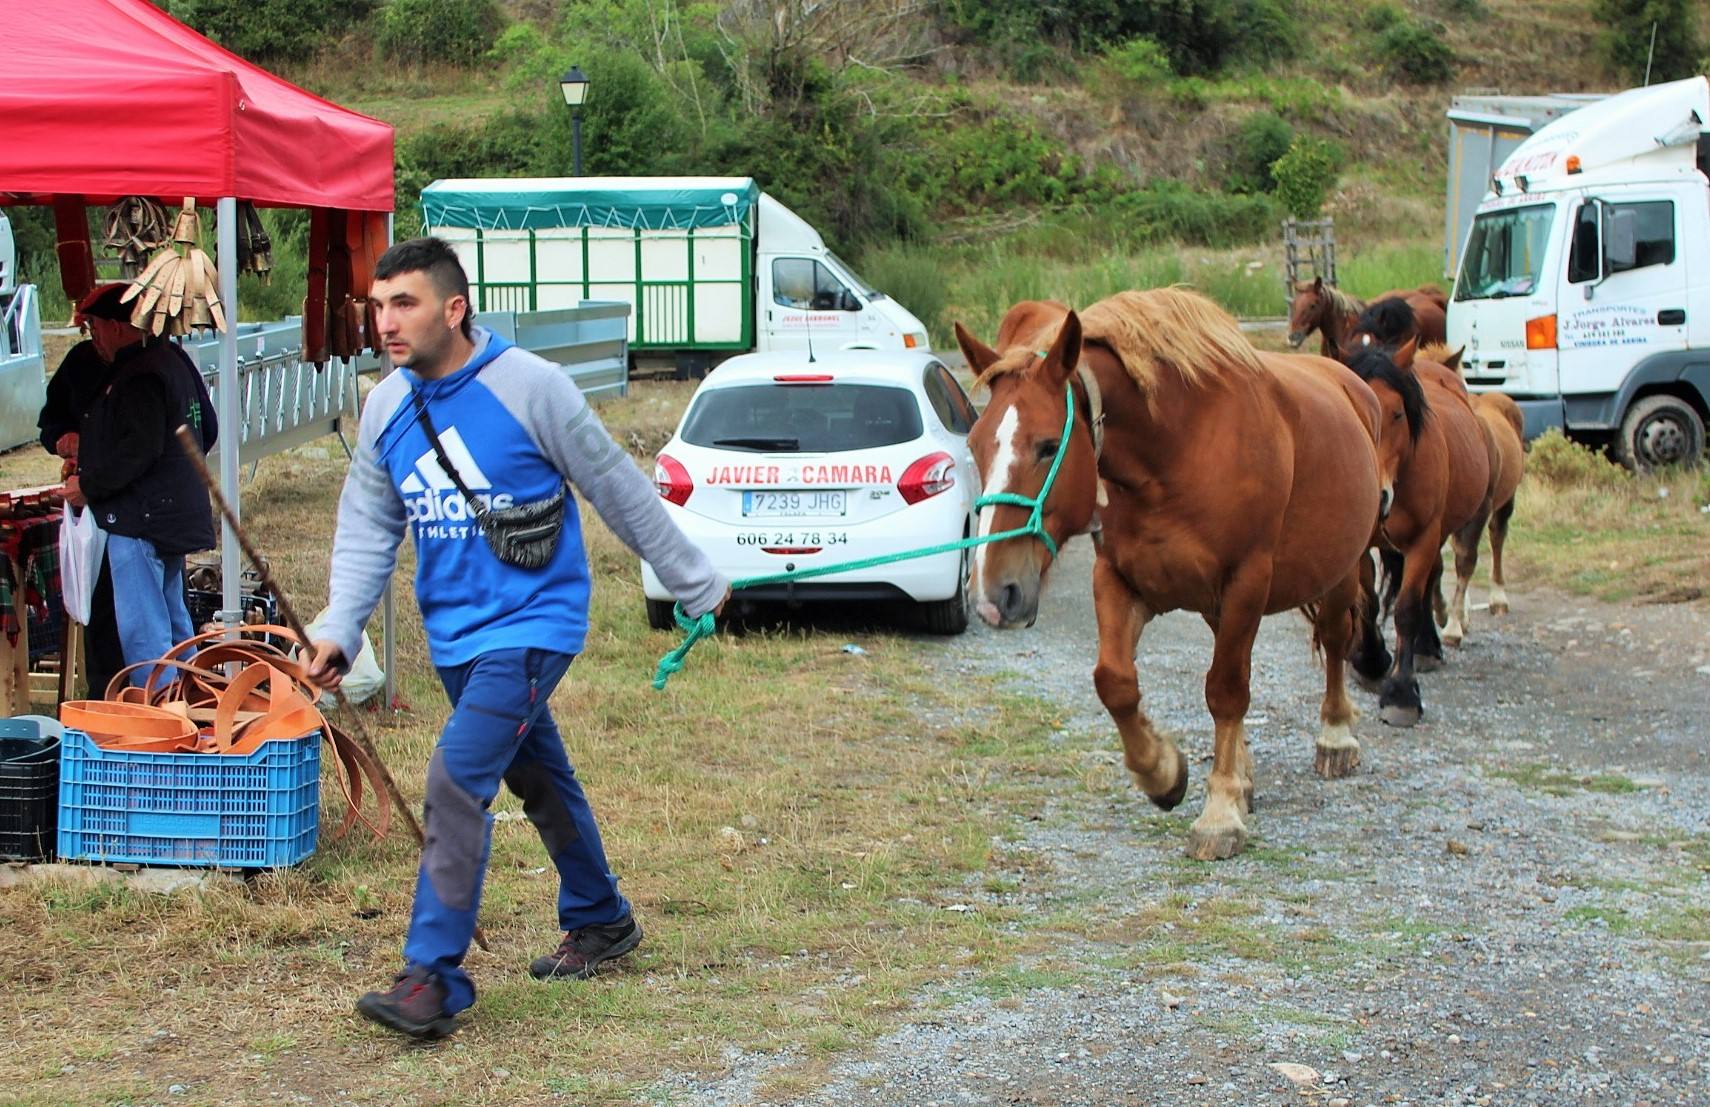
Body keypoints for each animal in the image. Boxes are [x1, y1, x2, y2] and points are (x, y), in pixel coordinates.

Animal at [957, 290, 1381, 862]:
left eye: (1047, 446)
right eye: (975, 444)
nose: (992, 593)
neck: (1177, 450)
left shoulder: (1246, 582)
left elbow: (1225, 690)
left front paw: (1219, 814)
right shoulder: (1120, 579)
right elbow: (1115, 683)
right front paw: (1163, 773)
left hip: (1338, 571)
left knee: (1335, 639)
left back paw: (1335, 737)